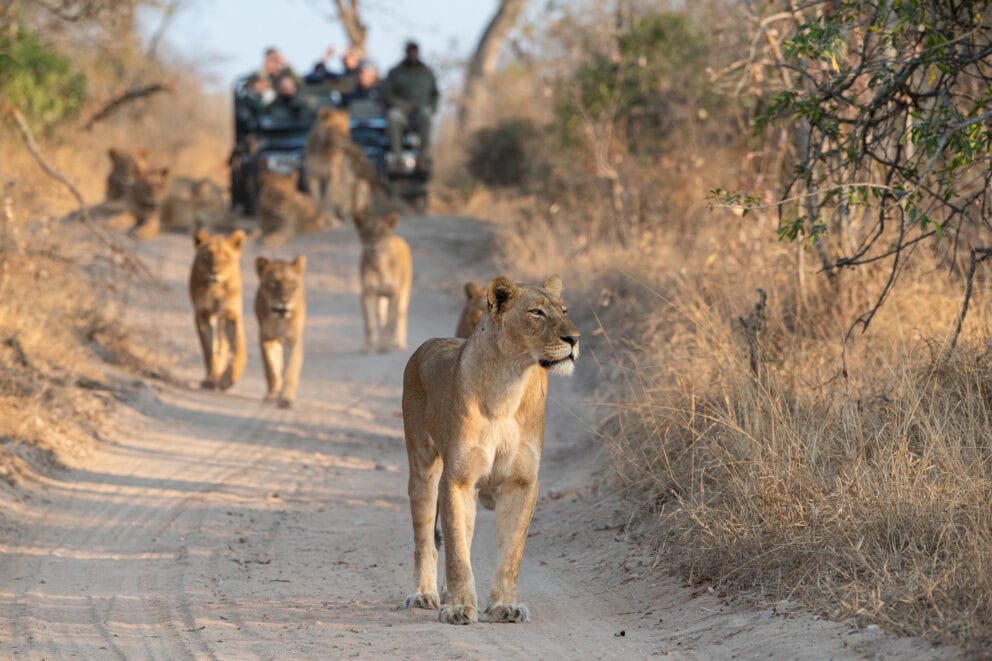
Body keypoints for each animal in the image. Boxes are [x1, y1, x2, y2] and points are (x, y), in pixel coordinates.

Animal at [189, 229, 248, 391]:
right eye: (208, 256)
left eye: (226, 257)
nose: (214, 272)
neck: (216, 289)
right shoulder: (202, 314)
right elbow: (208, 350)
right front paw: (211, 378)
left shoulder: (232, 315)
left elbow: (238, 349)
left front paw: (228, 379)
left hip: (222, 319)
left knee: (224, 344)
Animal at [254, 255, 306, 408]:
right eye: (274, 283)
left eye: (292, 283)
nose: (284, 301)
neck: (279, 319)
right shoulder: (265, 338)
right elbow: (271, 368)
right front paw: (272, 394)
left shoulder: (294, 340)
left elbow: (292, 369)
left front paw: (287, 398)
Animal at [355, 211, 412, 352]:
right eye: (366, 232)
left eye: (382, 232)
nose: (372, 246)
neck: (378, 266)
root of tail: (397, 237)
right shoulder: (367, 292)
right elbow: (369, 323)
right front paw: (369, 347)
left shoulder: (394, 293)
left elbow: (390, 322)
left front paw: (384, 346)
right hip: (380, 298)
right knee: (381, 316)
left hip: (404, 293)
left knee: (400, 316)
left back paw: (400, 343)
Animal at [402, 275, 580, 625]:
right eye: (536, 312)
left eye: (564, 310)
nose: (574, 339)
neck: (507, 385)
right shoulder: (457, 479)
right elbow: (456, 552)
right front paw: (458, 608)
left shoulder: (521, 482)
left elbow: (511, 551)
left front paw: (503, 607)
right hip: (423, 469)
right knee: (426, 539)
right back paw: (425, 595)